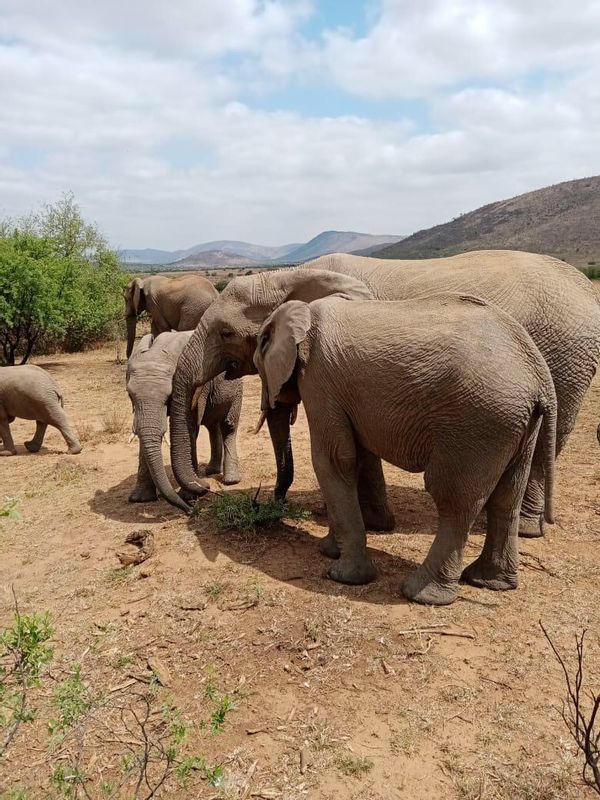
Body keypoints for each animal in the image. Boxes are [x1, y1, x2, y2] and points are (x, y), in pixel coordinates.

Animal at [126, 332, 241, 512]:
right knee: (212, 426)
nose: (206, 486)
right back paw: (210, 471)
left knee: (228, 426)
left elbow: (190, 427)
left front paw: (189, 495)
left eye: (169, 396)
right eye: (130, 395)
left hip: (236, 387)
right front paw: (140, 499)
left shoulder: (196, 386)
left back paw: (230, 480)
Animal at [165, 250, 600, 536]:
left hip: (565, 356)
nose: (271, 501)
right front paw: (373, 523)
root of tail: (586, 288)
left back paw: (525, 529)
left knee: (548, 441)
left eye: (226, 333)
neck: (290, 275)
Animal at [251, 296, 556, 608]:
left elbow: (333, 461)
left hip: (479, 423)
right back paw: (489, 582)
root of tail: (539, 377)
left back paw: (420, 594)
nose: (270, 504)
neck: (303, 311)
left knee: (454, 500)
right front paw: (329, 550)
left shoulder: (319, 381)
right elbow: (355, 458)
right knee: (507, 497)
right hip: (517, 425)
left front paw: (343, 575)